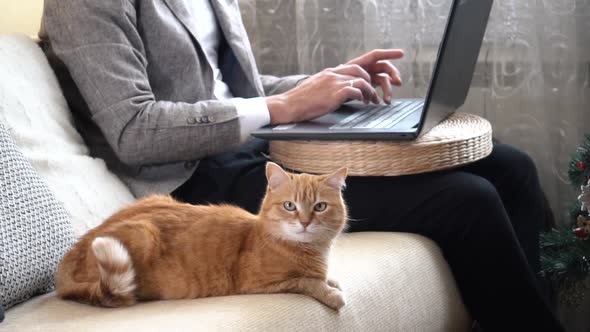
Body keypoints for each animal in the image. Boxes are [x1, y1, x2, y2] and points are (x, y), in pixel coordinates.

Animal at [56, 162, 350, 310]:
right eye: (290, 206)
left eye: (319, 207)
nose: (305, 222)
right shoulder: (260, 284)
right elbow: (307, 281)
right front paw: (331, 292)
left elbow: (323, 277)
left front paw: (332, 280)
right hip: (142, 234)